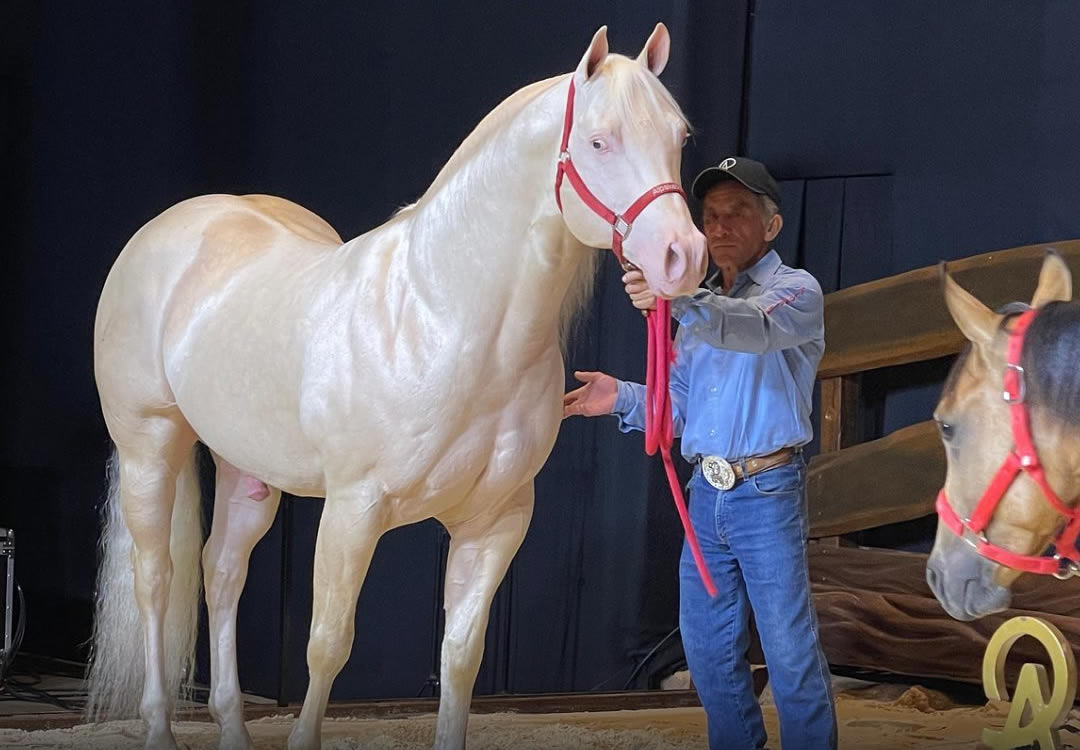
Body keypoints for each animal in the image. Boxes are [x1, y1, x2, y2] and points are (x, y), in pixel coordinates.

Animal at [86, 23, 708, 750]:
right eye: (600, 141)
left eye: (678, 137)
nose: (683, 257)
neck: (441, 320)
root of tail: (176, 226)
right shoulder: (353, 511)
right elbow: (327, 645)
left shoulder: (496, 522)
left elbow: (460, 657)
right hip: (150, 446)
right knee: (156, 578)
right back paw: (159, 723)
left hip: (248, 469)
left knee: (221, 573)